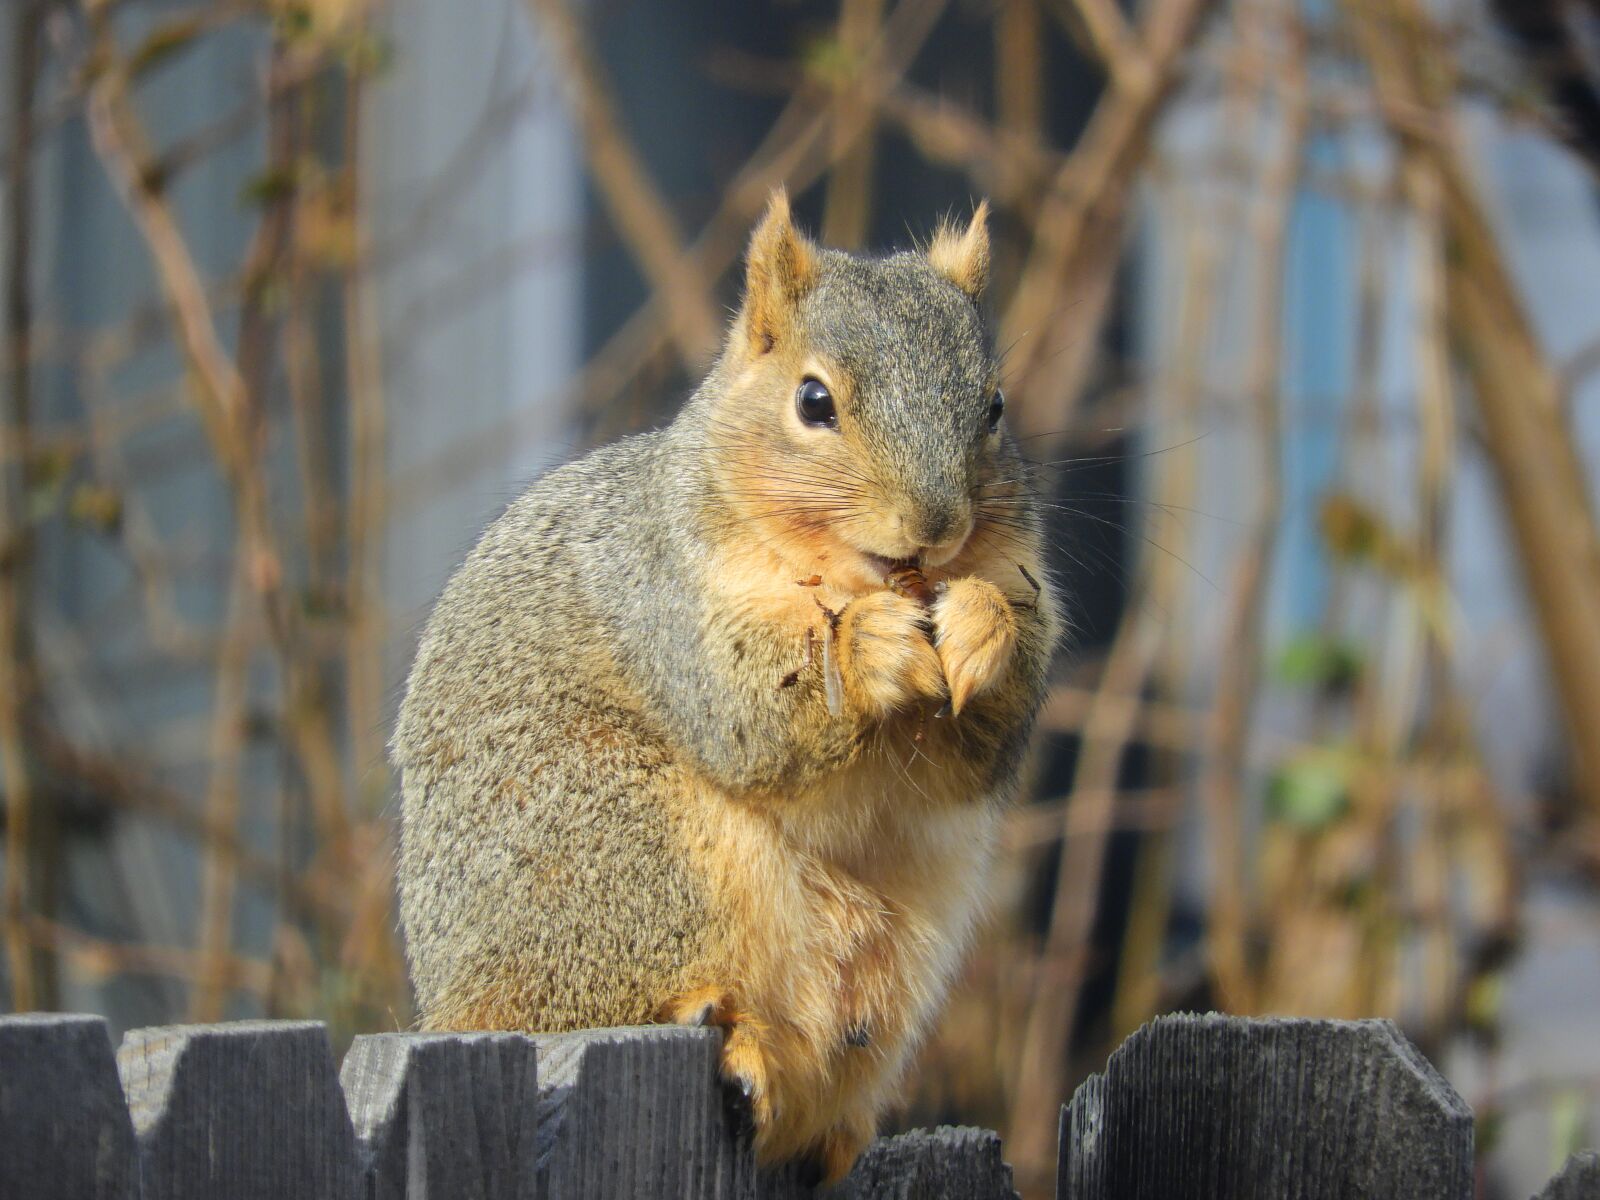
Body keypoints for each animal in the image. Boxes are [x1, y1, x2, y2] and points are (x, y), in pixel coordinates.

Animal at [392, 190, 1056, 1184]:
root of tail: (449, 1005)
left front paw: (983, 627)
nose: (936, 526)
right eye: (813, 401)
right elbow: (747, 715)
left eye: (996, 407)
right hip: (621, 847)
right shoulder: (665, 594)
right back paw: (738, 1045)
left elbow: (983, 745)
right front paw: (866, 650)